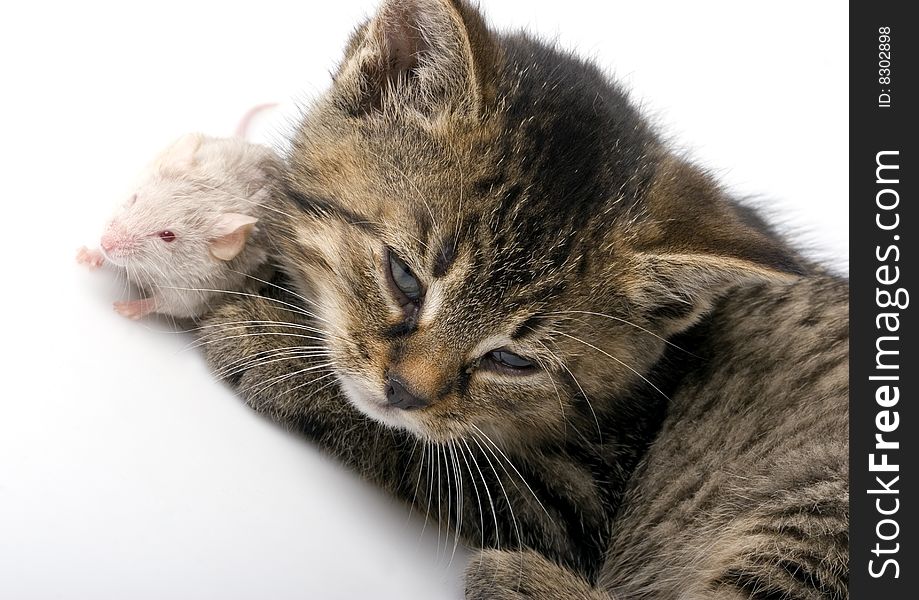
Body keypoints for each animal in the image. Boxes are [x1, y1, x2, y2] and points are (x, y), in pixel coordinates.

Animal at [199, 2, 848, 596]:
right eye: (405, 277)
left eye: (512, 360)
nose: (405, 392)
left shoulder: (579, 501)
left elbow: (432, 456)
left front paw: (271, 349)